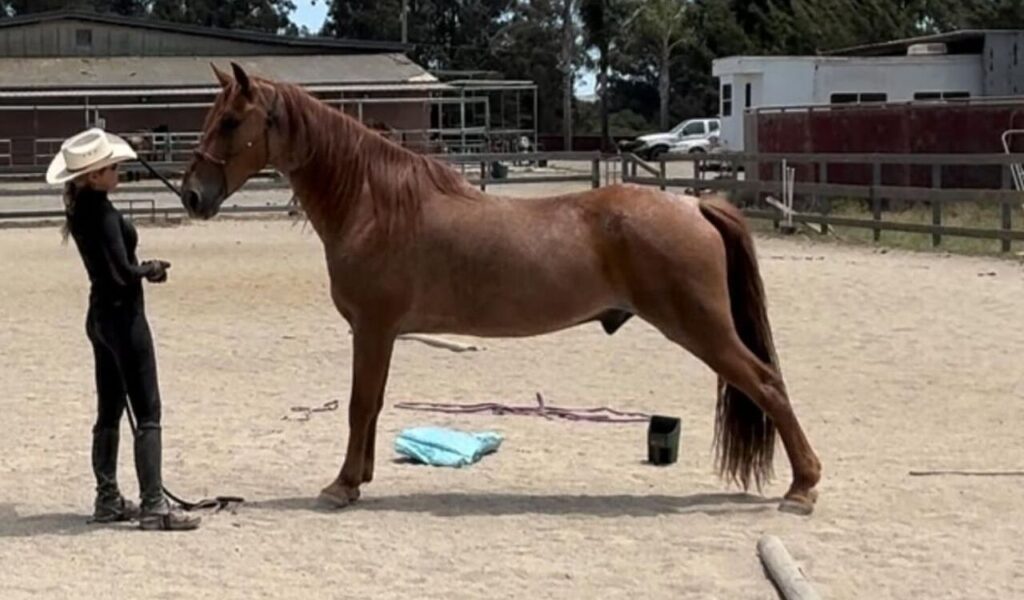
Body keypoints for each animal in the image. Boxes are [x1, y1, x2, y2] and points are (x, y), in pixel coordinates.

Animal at [179, 63, 822, 515]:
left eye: (230, 122)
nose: (191, 195)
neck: (374, 205)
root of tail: (694, 204)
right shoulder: (381, 334)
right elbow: (373, 404)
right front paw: (358, 480)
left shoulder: (373, 329)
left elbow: (361, 404)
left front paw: (340, 486)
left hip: (703, 328)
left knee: (768, 384)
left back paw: (803, 488)